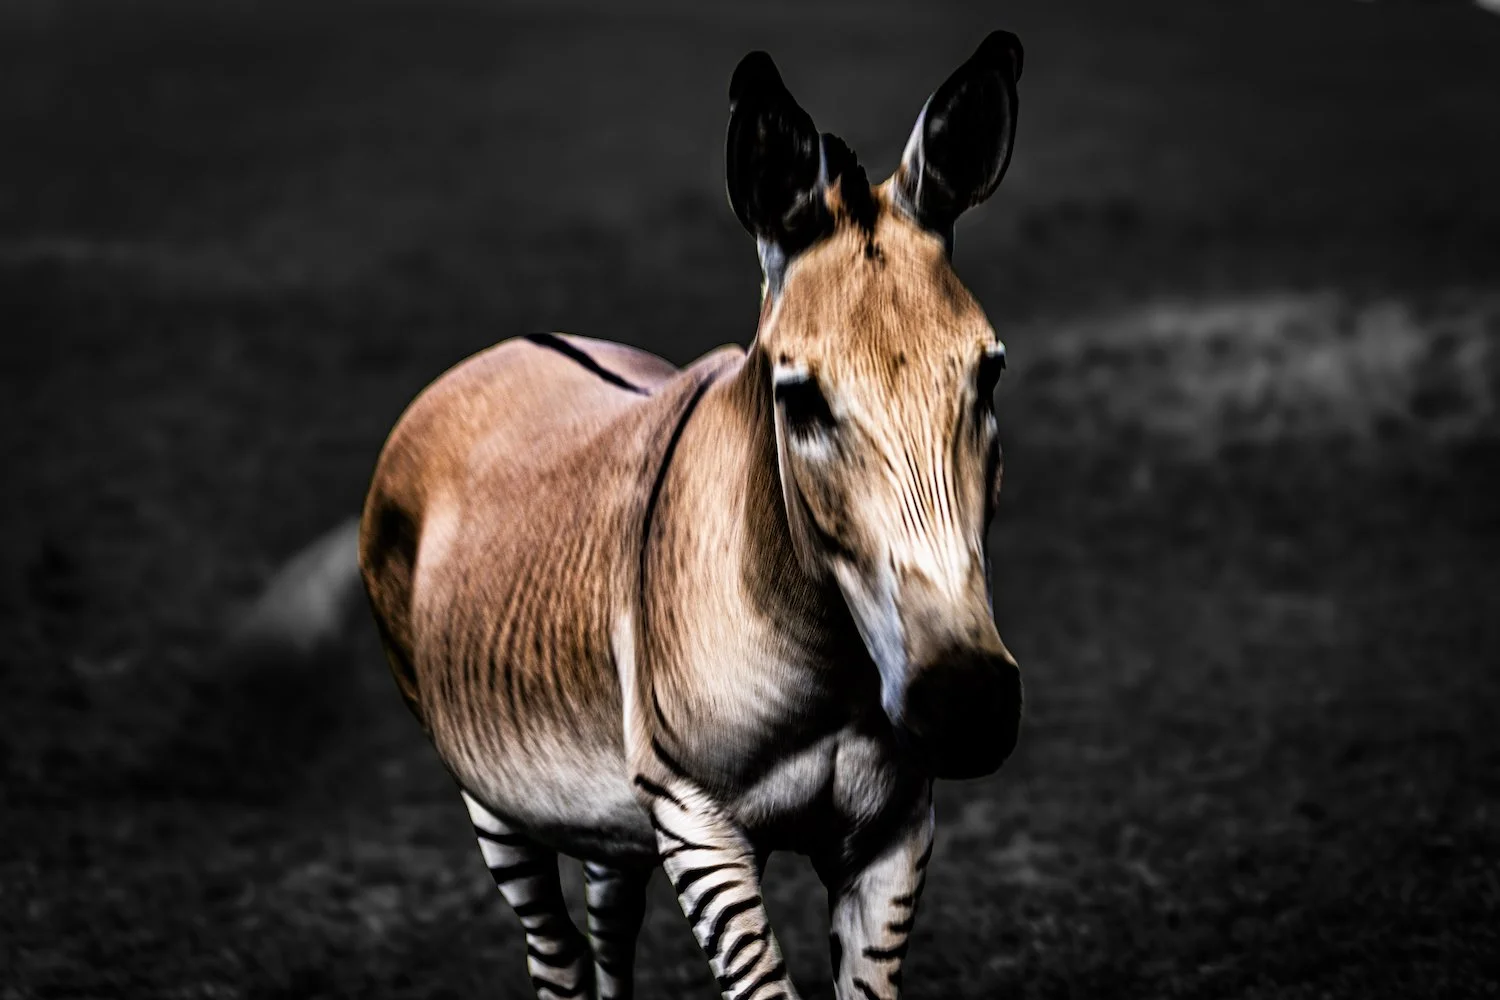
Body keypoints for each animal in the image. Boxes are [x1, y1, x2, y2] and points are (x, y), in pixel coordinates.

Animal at [245, 30, 1026, 1000]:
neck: (834, 675)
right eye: (799, 398)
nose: (969, 704)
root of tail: (509, 344)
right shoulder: (696, 821)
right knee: (557, 954)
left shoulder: (894, 827)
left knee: (608, 926)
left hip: (605, 802)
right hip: (491, 788)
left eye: (989, 375)